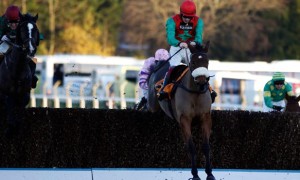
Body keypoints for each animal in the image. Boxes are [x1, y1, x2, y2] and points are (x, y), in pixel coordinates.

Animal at [148, 42, 216, 180]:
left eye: (207, 62)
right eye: (193, 62)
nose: (202, 81)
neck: (195, 92)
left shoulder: (206, 117)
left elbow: (206, 146)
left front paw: (209, 173)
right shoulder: (185, 119)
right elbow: (191, 146)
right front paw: (195, 174)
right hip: (152, 107)